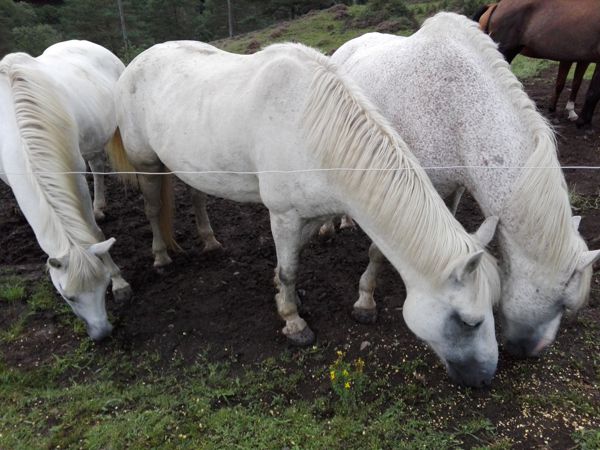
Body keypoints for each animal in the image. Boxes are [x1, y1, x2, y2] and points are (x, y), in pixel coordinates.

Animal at [111, 40, 502, 388]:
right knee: (152, 209)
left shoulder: (310, 214)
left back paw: (209, 241)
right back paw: (161, 258)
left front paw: (285, 296)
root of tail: (136, 61)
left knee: (197, 197)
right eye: (469, 322)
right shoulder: (283, 214)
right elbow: (289, 269)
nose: (485, 378)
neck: (315, 129)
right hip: (147, 164)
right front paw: (293, 322)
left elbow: (292, 259)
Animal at [332, 14, 600, 356]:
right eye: (563, 304)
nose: (530, 351)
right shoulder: (396, 186)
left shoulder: (453, 188)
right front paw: (365, 301)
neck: (455, 110)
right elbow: (379, 251)